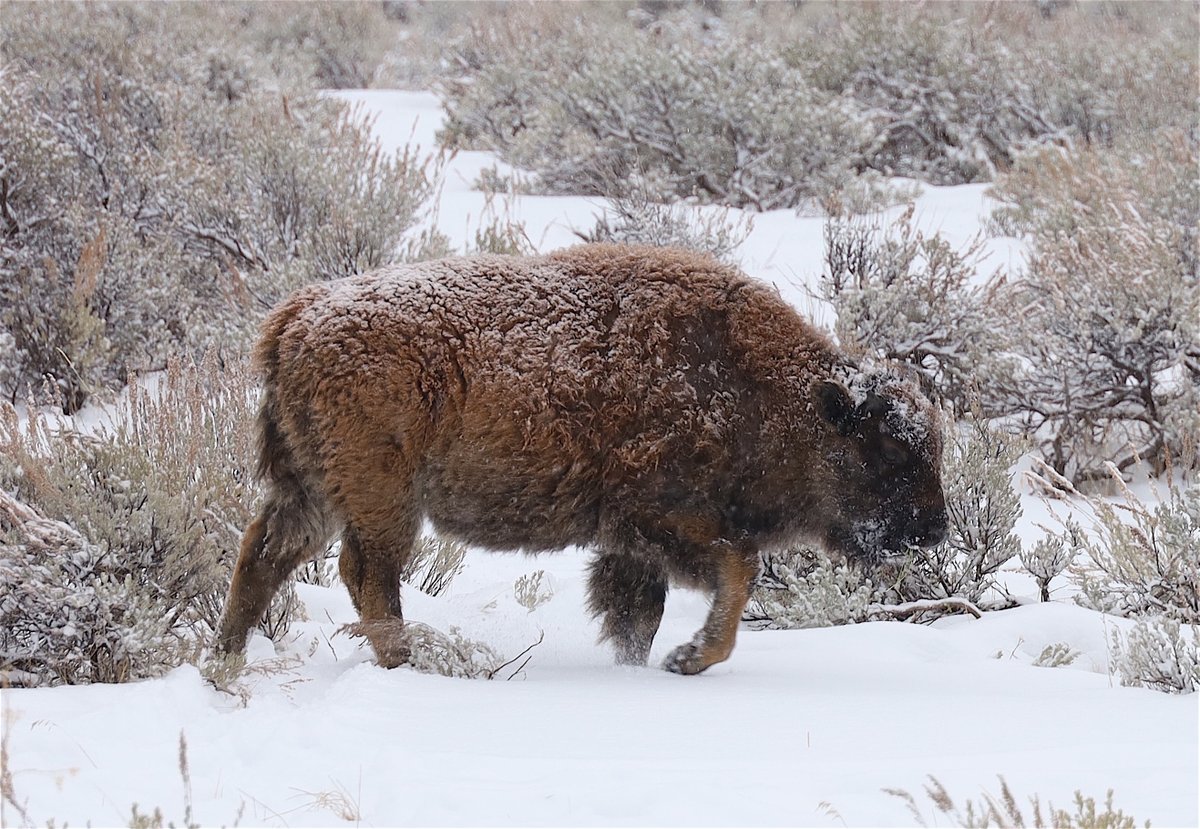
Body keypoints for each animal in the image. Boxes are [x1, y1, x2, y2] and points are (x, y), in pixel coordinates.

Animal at [216, 241, 945, 676]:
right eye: (886, 450)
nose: (933, 529)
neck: (767, 391)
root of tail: (299, 315)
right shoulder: (668, 521)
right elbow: (738, 573)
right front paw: (690, 657)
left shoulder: (633, 546)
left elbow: (638, 617)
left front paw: (645, 665)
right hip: (382, 496)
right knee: (368, 573)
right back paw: (410, 662)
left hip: (311, 490)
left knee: (266, 555)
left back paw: (225, 658)